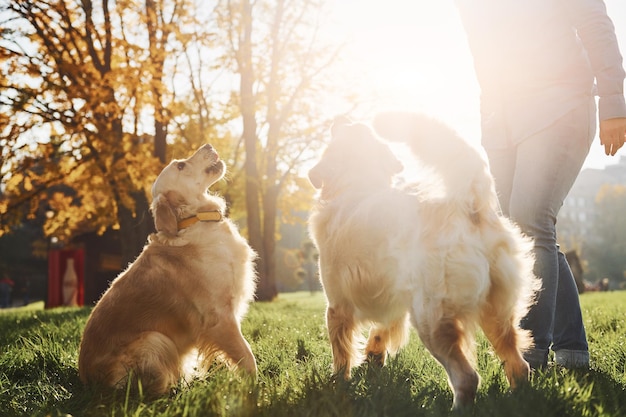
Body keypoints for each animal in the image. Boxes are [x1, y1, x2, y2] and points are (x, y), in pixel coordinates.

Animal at [78, 145, 256, 394]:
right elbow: (247, 355)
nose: (209, 146)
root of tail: (86, 381)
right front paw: (257, 390)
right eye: (181, 165)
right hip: (154, 339)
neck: (195, 219)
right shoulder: (219, 316)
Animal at [308, 113, 536, 406]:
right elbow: (380, 331)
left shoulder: (337, 305)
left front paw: (338, 385)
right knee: (519, 366)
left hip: (432, 320)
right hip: (497, 313)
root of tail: (467, 203)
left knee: (467, 377)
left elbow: (341, 353)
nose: (338, 119)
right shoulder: (392, 295)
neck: (357, 185)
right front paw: (373, 360)